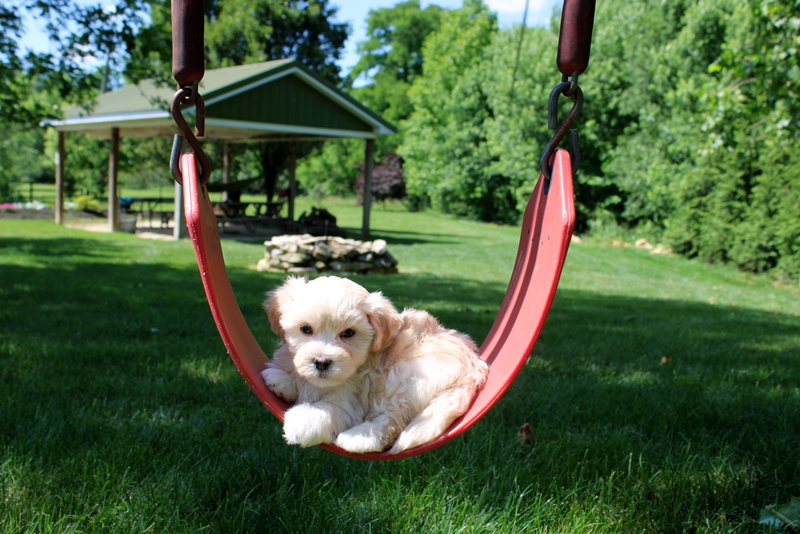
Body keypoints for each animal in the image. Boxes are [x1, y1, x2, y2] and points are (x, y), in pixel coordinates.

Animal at [262, 276, 488, 456]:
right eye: (306, 329)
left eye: (348, 333)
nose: (321, 361)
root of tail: (475, 366)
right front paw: (280, 380)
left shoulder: (351, 403)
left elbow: (329, 409)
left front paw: (303, 422)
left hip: (404, 373)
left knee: (393, 420)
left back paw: (359, 437)